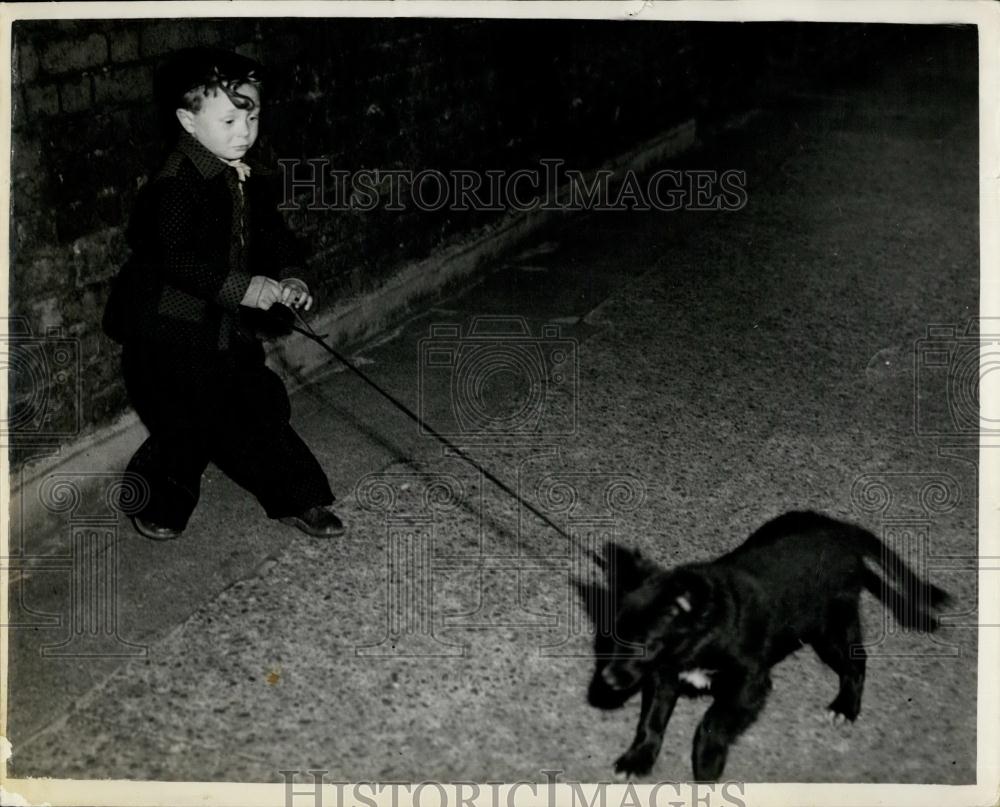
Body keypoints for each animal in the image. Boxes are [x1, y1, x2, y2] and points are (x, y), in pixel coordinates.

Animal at [584, 512, 952, 784]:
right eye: (608, 638)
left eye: (646, 646)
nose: (607, 679)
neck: (708, 628)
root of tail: (843, 530)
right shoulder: (664, 677)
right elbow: (651, 721)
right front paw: (638, 759)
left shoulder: (750, 684)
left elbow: (712, 723)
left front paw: (707, 764)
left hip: (830, 628)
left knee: (856, 663)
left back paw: (845, 707)